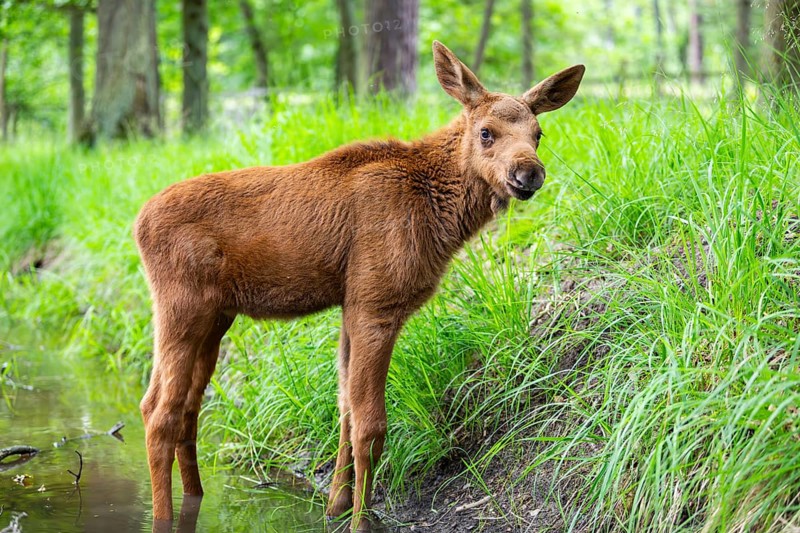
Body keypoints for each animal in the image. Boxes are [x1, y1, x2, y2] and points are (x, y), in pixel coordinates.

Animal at [133, 41, 584, 532]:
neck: (439, 211)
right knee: (158, 412)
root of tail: (137, 224)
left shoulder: (352, 306)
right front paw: (361, 518)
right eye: (486, 132)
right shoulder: (376, 303)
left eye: (538, 133)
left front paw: (335, 505)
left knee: (186, 407)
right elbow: (372, 425)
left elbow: (346, 409)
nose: (529, 173)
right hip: (182, 307)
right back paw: (162, 515)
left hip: (216, 318)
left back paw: (196, 495)